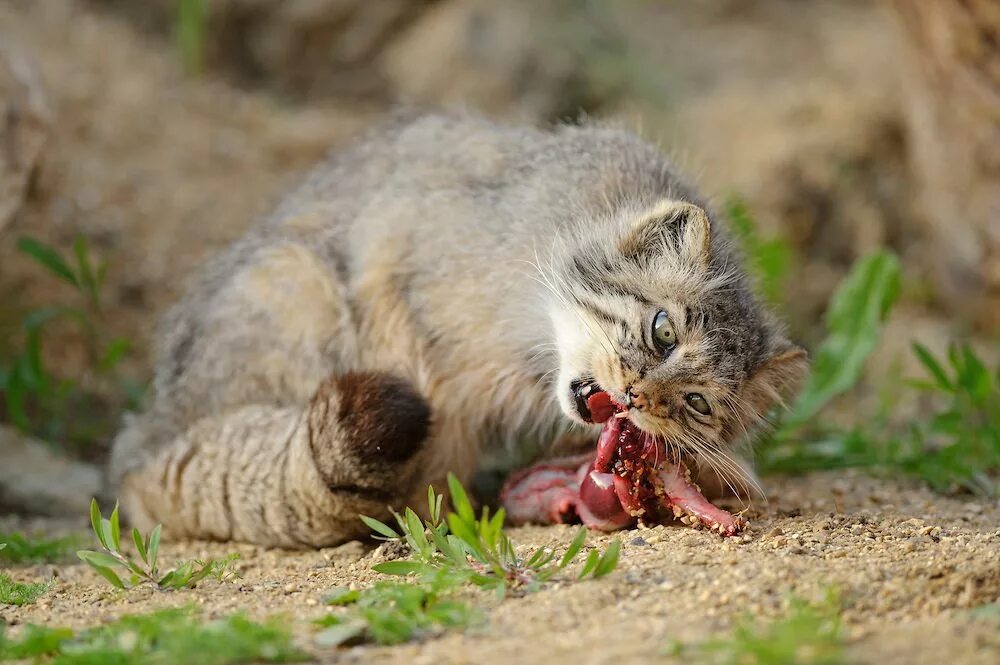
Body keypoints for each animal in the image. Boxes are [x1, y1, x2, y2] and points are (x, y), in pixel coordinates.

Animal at [111, 113, 804, 544]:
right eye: (663, 331)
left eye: (696, 404)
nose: (637, 396)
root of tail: (143, 434)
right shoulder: (398, 268)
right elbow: (436, 411)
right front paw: (431, 514)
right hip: (292, 279)